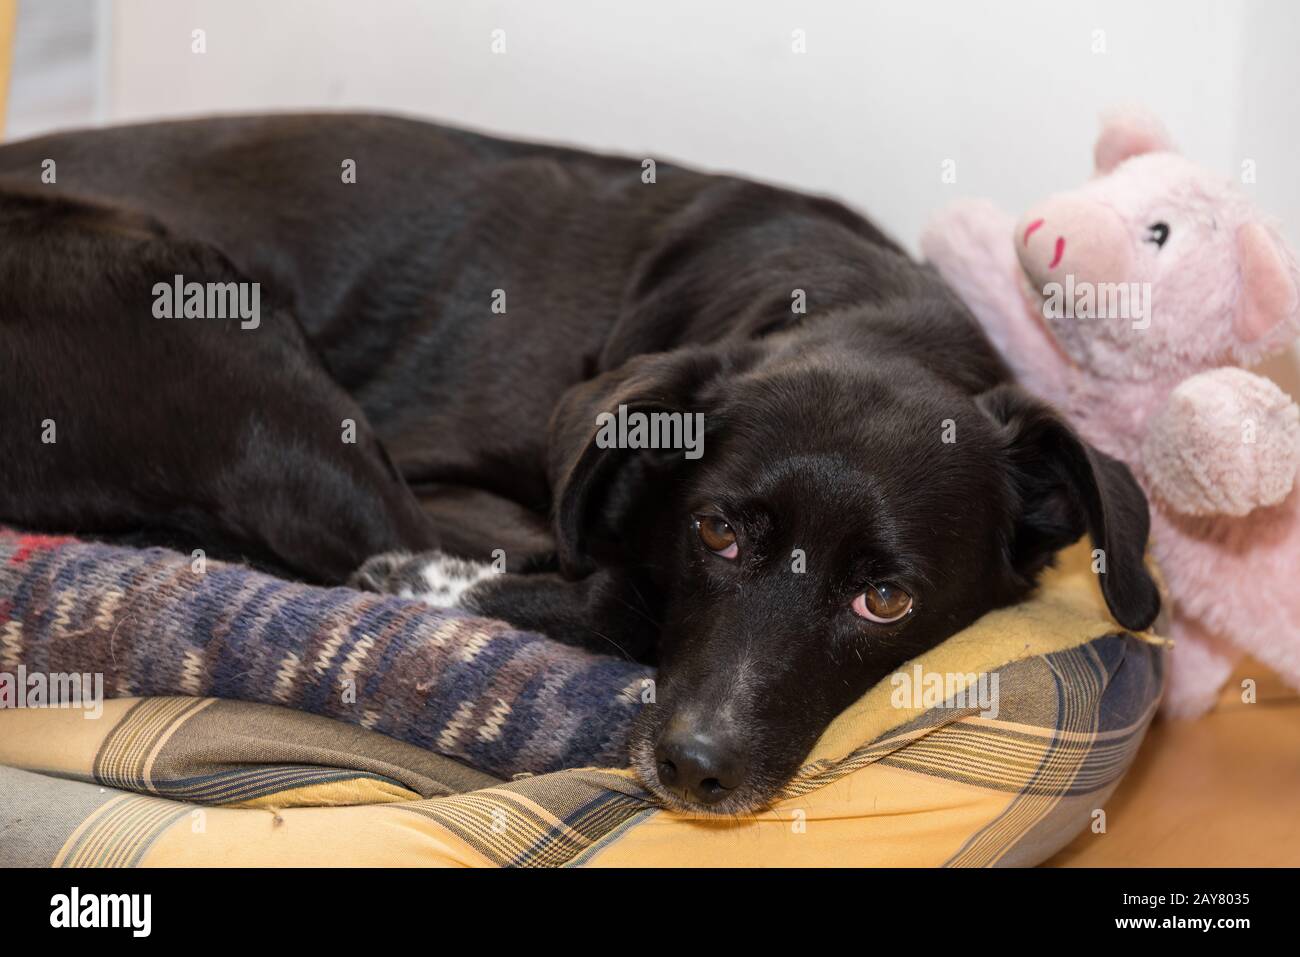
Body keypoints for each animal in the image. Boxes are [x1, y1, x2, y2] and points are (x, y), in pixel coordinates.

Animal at [0, 115, 1159, 811]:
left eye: (886, 599)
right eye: (716, 530)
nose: (694, 769)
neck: (857, 304)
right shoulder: (445, 473)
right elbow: (607, 590)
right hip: (216, 320)